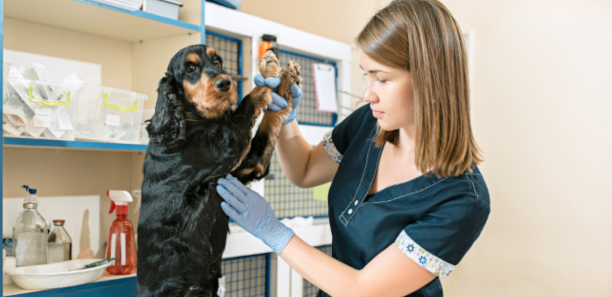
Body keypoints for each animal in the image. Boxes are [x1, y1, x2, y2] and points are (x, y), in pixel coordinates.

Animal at [137, 44, 302, 296]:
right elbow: (248, 101)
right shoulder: (228, 145)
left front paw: (286, 80)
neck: (192, 124)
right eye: (190, 68)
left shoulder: (249, 164)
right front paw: (269, 69)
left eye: (217, 61)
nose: (225, 83)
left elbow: (268, 121)